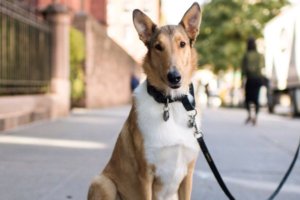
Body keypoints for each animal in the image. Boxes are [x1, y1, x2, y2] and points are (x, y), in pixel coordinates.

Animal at [88, 2, 203, 200]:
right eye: (158, 46)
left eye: (182, 44)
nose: (174, 77)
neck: (170, 103)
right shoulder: (145, 175)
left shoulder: (187, 175)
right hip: (103, 182)